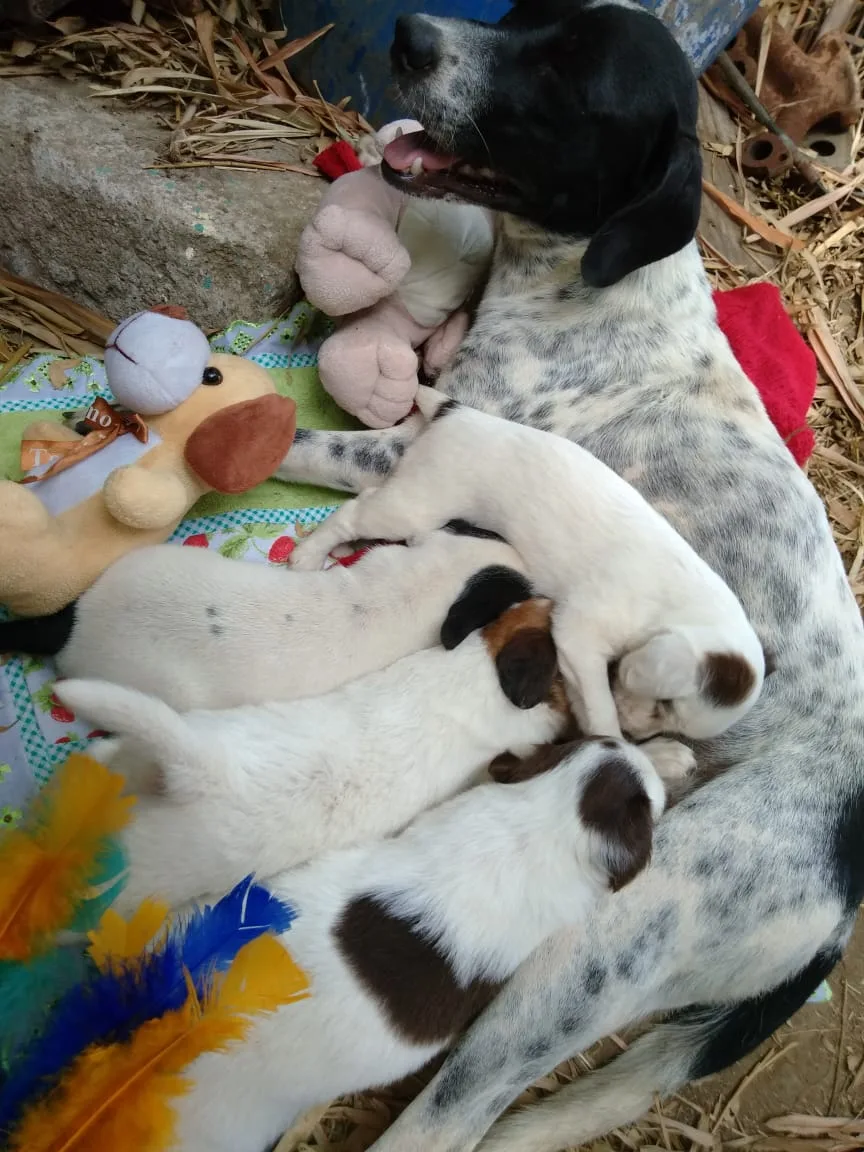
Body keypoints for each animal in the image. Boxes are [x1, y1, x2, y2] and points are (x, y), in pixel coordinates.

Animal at [294, 387, 769, 741]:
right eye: (664, 705)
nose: (638, 734)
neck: (683, 607)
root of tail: (456, 412)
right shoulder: (579, 631)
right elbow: (600, 705)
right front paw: (613, 738)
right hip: (415, 504)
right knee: (353, 512)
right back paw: (307, 555)